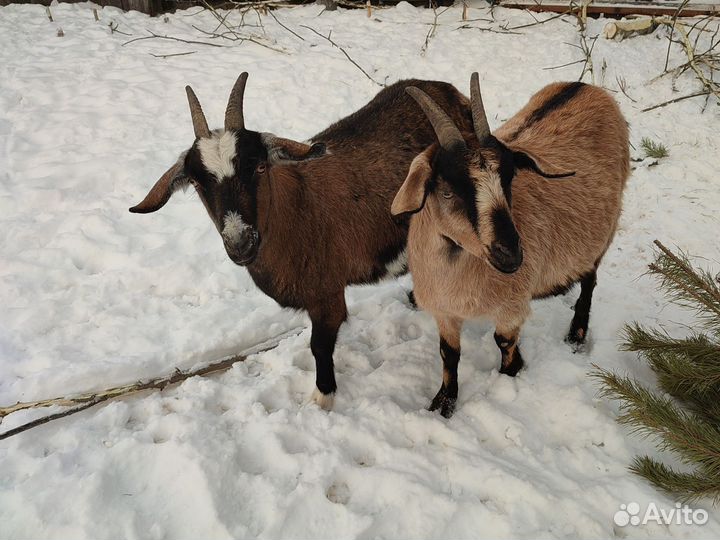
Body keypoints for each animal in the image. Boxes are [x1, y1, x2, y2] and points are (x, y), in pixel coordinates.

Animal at [130, 73, 473, 410]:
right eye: (197, 183)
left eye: (260, 166)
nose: (240, 243)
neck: (295, 208)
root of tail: (449, 91)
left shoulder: (327, 295)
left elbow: (319, 347)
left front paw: (321, 399)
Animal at [391, 73, 630, 418]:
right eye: (447, 191)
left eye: (509, 179)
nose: (511, 254)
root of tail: (584, 86)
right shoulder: (444, 312)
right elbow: (448, 353)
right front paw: (443, 403)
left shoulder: (511, 306)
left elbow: (503, 341)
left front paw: (511, 373)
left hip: (604, 230)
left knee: (590, 279)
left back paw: (576, 334)